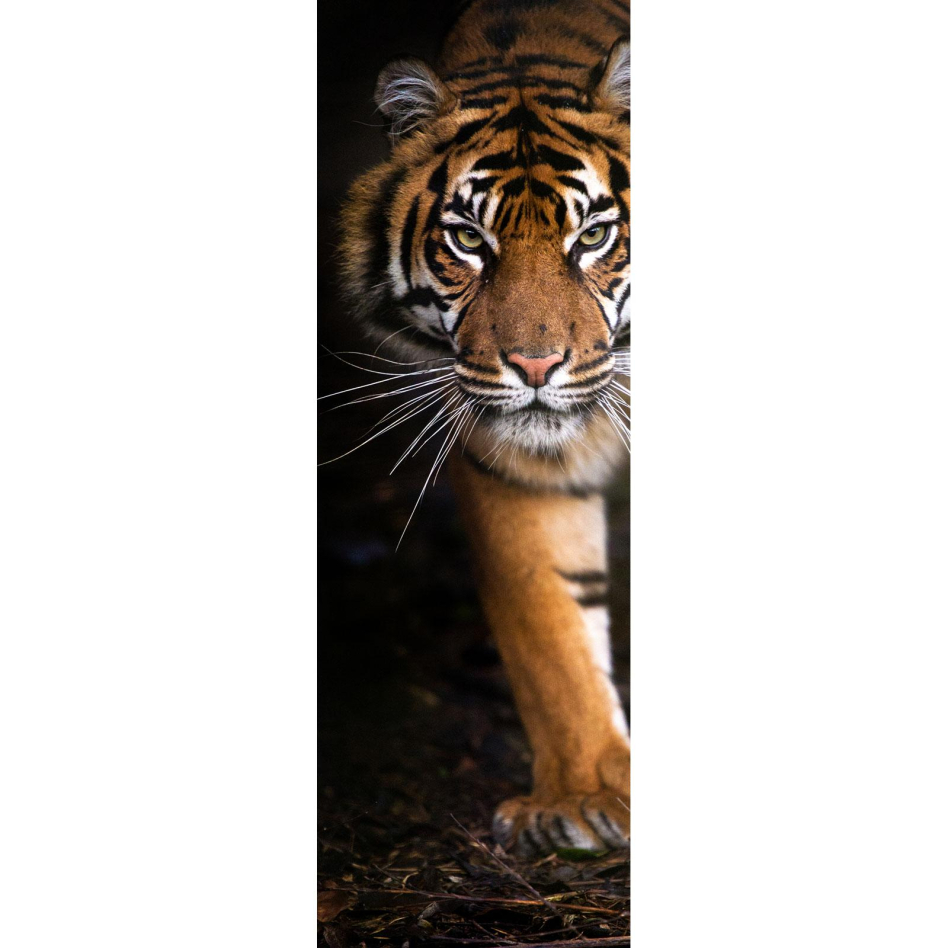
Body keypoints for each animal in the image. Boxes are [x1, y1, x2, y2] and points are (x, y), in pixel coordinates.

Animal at [337, 0, 630, 855]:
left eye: (592, 236)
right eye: (469, 239)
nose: (535, 366)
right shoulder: (517, 460)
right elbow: (549, 625)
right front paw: (585, 797)